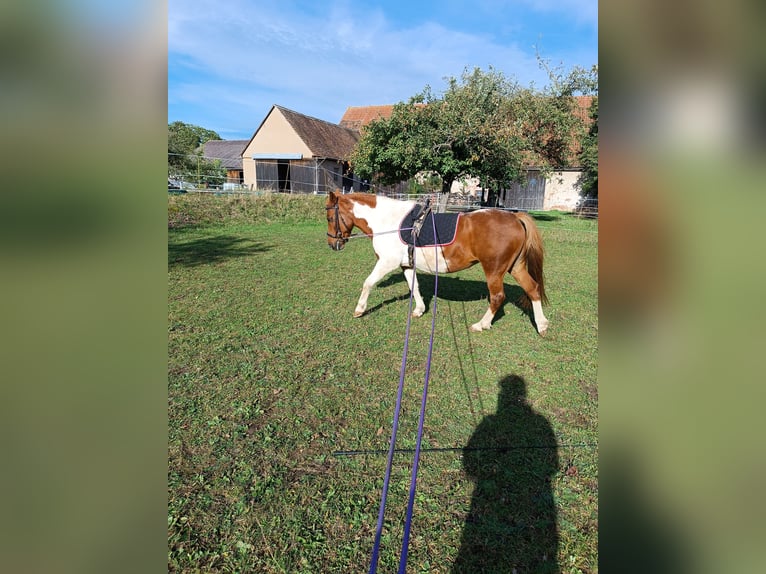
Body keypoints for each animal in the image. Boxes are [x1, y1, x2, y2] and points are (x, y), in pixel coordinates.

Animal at [324, 191, 552, 336]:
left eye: (329, 217)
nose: (332, 244)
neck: (391, 222)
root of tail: (515, 218)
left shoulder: (386, 263)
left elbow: (368, 283)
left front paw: (359, 309)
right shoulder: (407, 265)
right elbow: (414, 287)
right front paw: (419, 310)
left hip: (494, 270)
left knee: (497, 297)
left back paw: (481, 324)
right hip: (515, 267)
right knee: (532, 289)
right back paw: (541, 325)